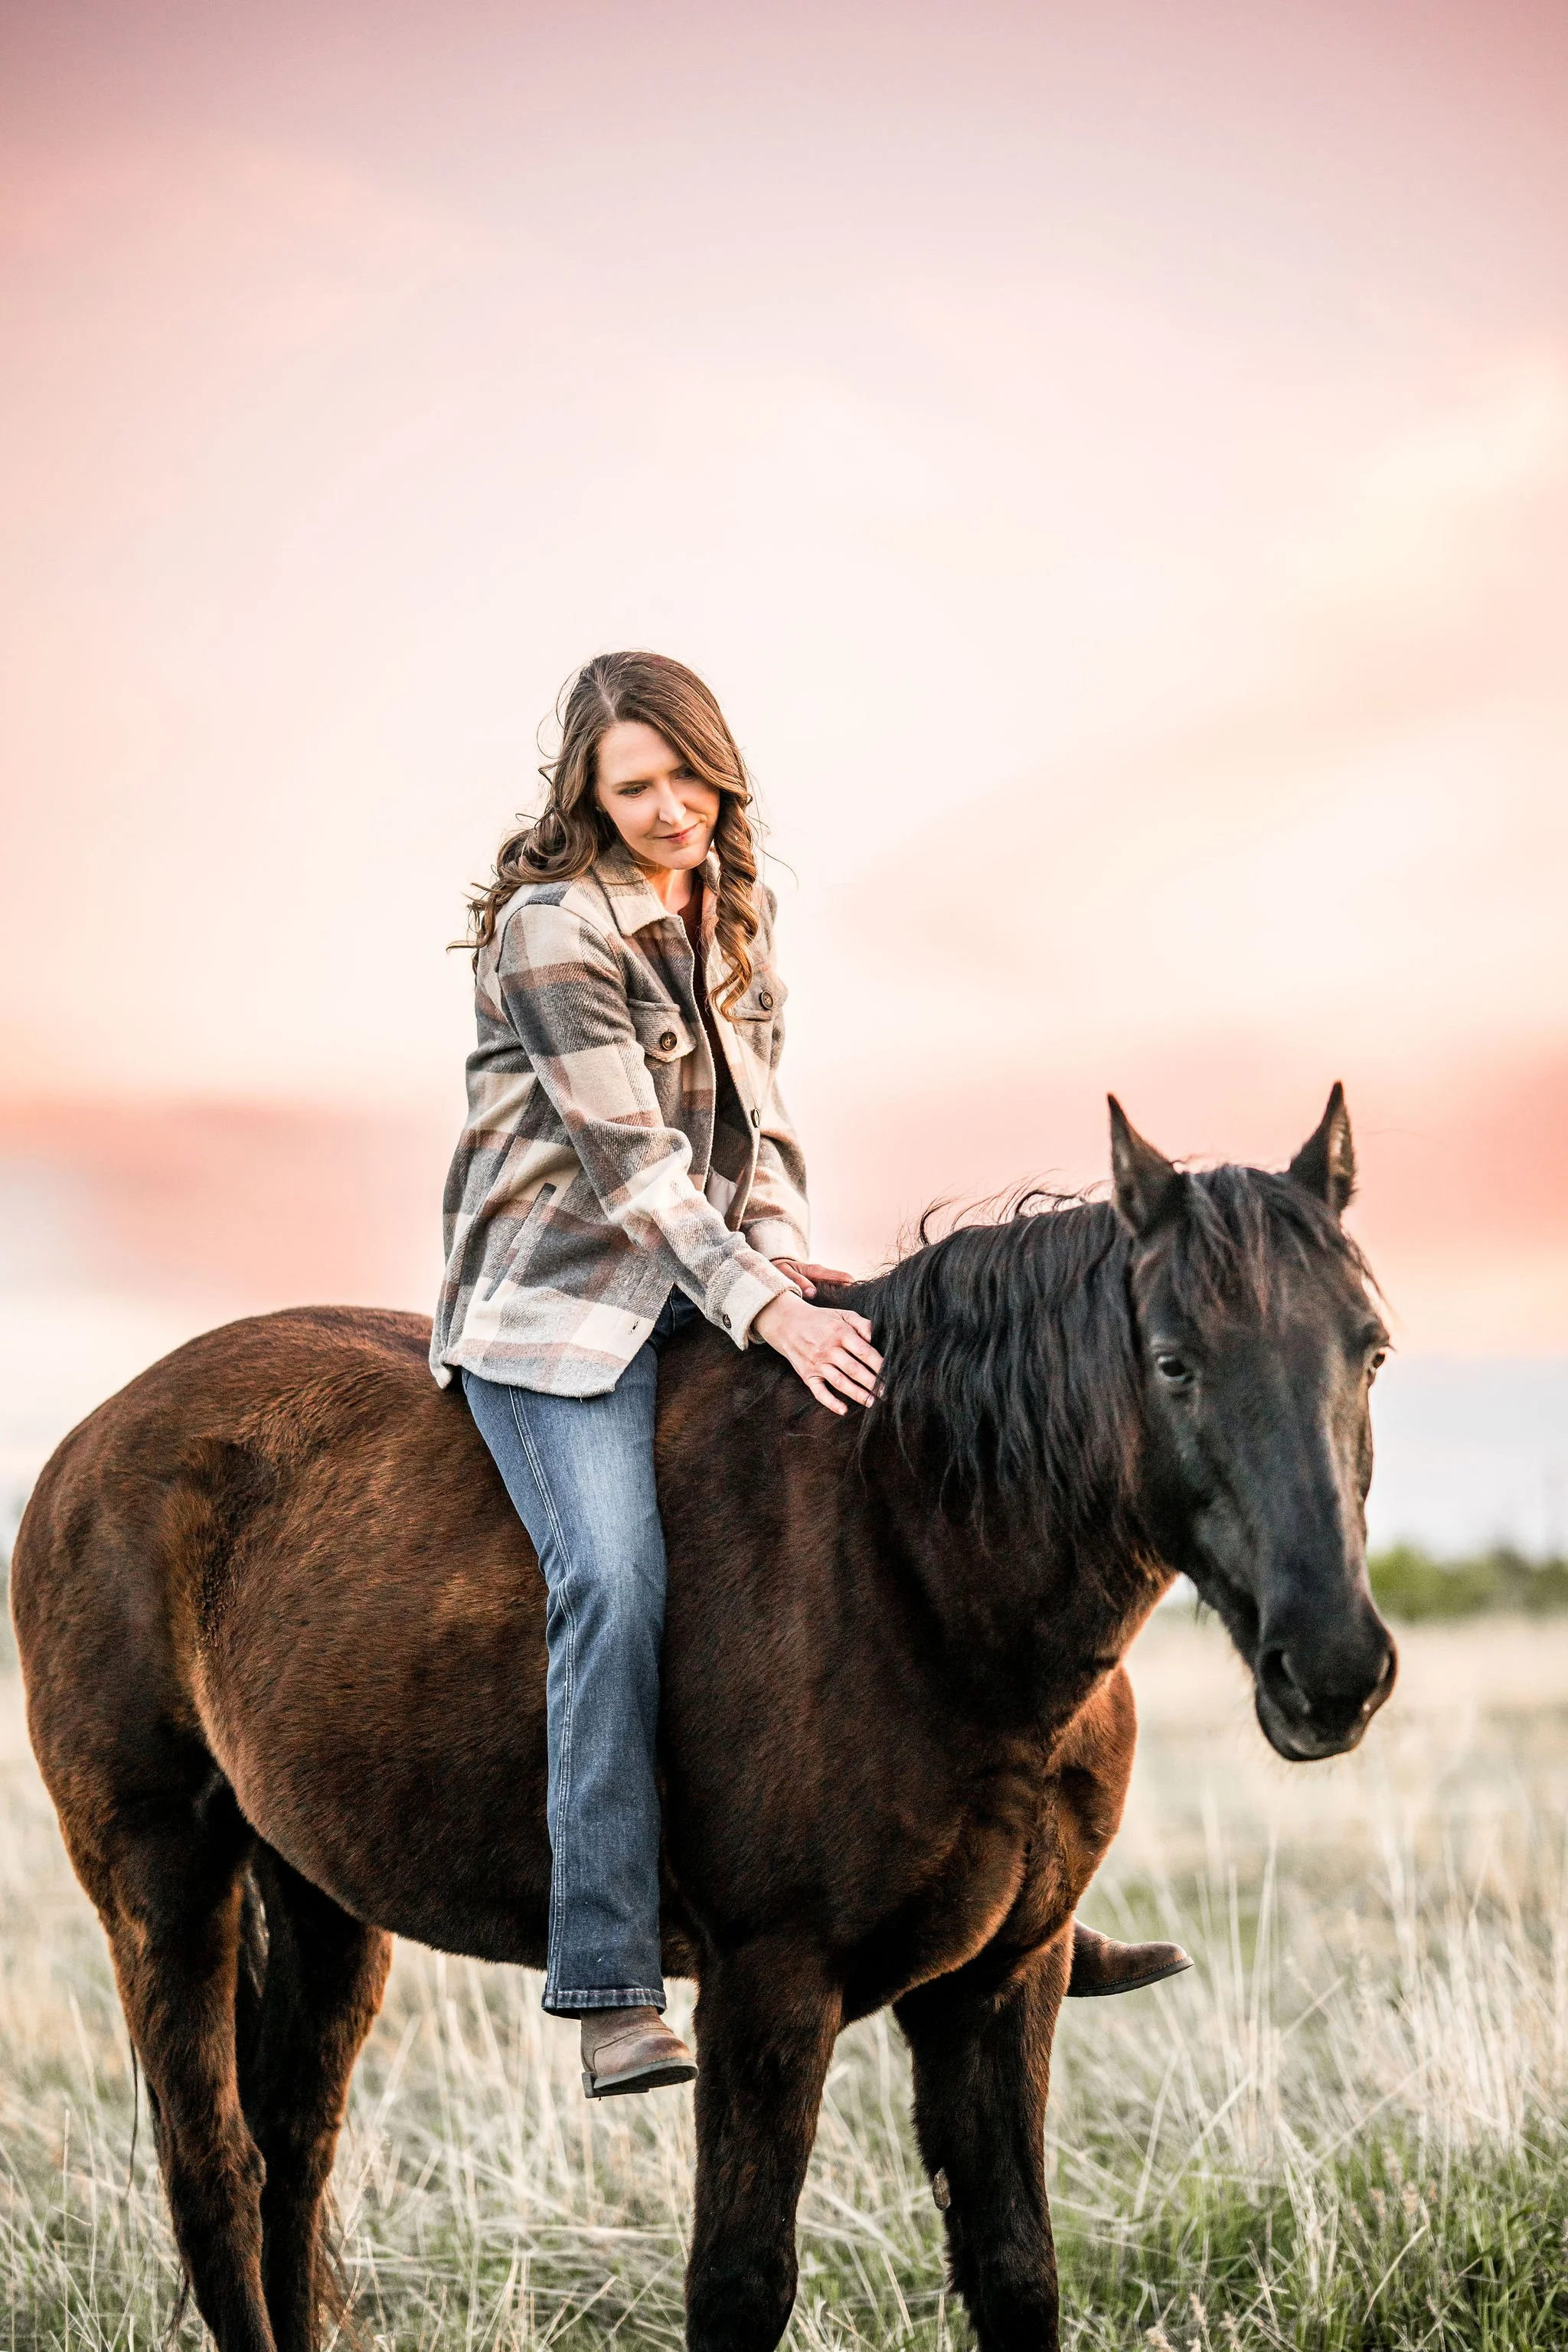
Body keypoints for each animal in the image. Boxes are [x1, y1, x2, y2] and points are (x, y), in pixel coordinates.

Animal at [10, 1088, 1396, 2352]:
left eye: (1370, 1349)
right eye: (1172, 1362)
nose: (1332, 1669)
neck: (913, 1566)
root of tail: (88, 1445)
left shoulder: (1005, 1978)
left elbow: (1015, 2270)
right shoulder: (770, 1984)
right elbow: (739, 2285)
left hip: (318, 1897)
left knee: (294, 2163)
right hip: (162, 1880)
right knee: (216, 2175)